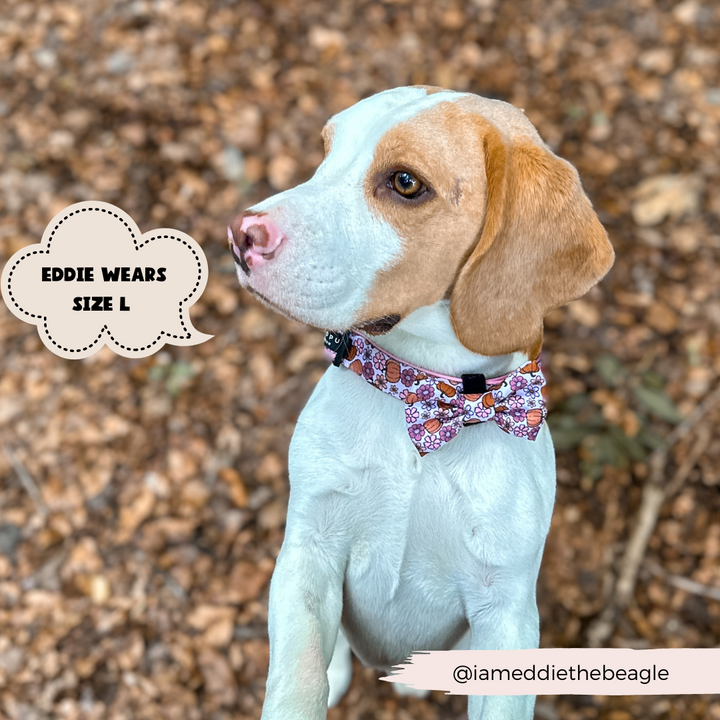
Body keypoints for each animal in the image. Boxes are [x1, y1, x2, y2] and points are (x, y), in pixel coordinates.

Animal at [228, 86, 612, 720]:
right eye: (326, 152)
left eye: (405, 183)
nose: (241, 233)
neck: (424, 402)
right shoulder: (309, 553)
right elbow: (298, 678)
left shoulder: (506, 615)